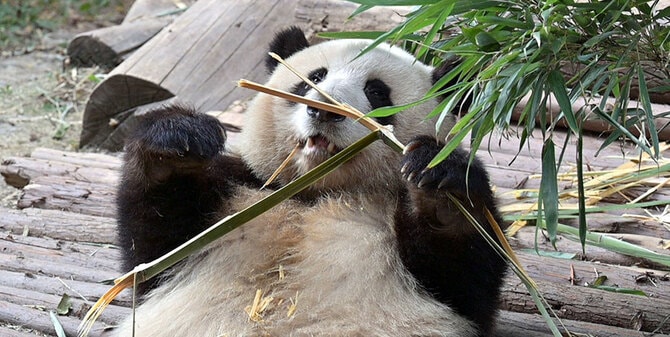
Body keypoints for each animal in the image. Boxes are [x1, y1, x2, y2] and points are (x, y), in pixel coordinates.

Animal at [115, 26, 506, 336]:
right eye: (314, 78)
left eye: (377, 92)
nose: (324, 110)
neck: (315, 191)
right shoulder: (241, 188)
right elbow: (153, 257)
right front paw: (177, 142)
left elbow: (464, 280)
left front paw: (439, 185)